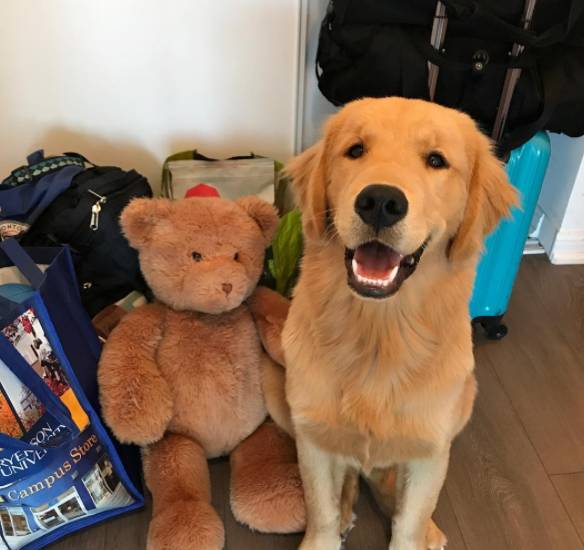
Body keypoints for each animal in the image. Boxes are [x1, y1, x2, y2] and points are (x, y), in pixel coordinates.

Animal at [282, 97, 518, 550]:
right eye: (355, 150)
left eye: (436, 160)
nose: (380, 201)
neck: (380, 334)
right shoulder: (312, 440)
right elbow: (321, 510)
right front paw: (330, 526)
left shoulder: (429, 452)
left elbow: (409, 520)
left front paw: (418, 529)